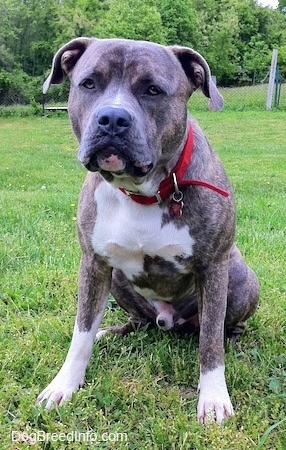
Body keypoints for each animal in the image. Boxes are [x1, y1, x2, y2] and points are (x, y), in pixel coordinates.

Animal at [38, 37, 260, 424]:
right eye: (89, 84)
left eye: (153, 90)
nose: (112, 118)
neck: (142, 191)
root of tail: (169, 320)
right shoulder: (93, 264)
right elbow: (81, 331)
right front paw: (64, 385)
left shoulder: (213, 267)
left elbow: (210, 343)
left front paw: (214, 399)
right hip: (118, 281)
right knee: (137, 321)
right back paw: (111, 333)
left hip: (243, 280)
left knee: (220, 327)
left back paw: (230, 338)